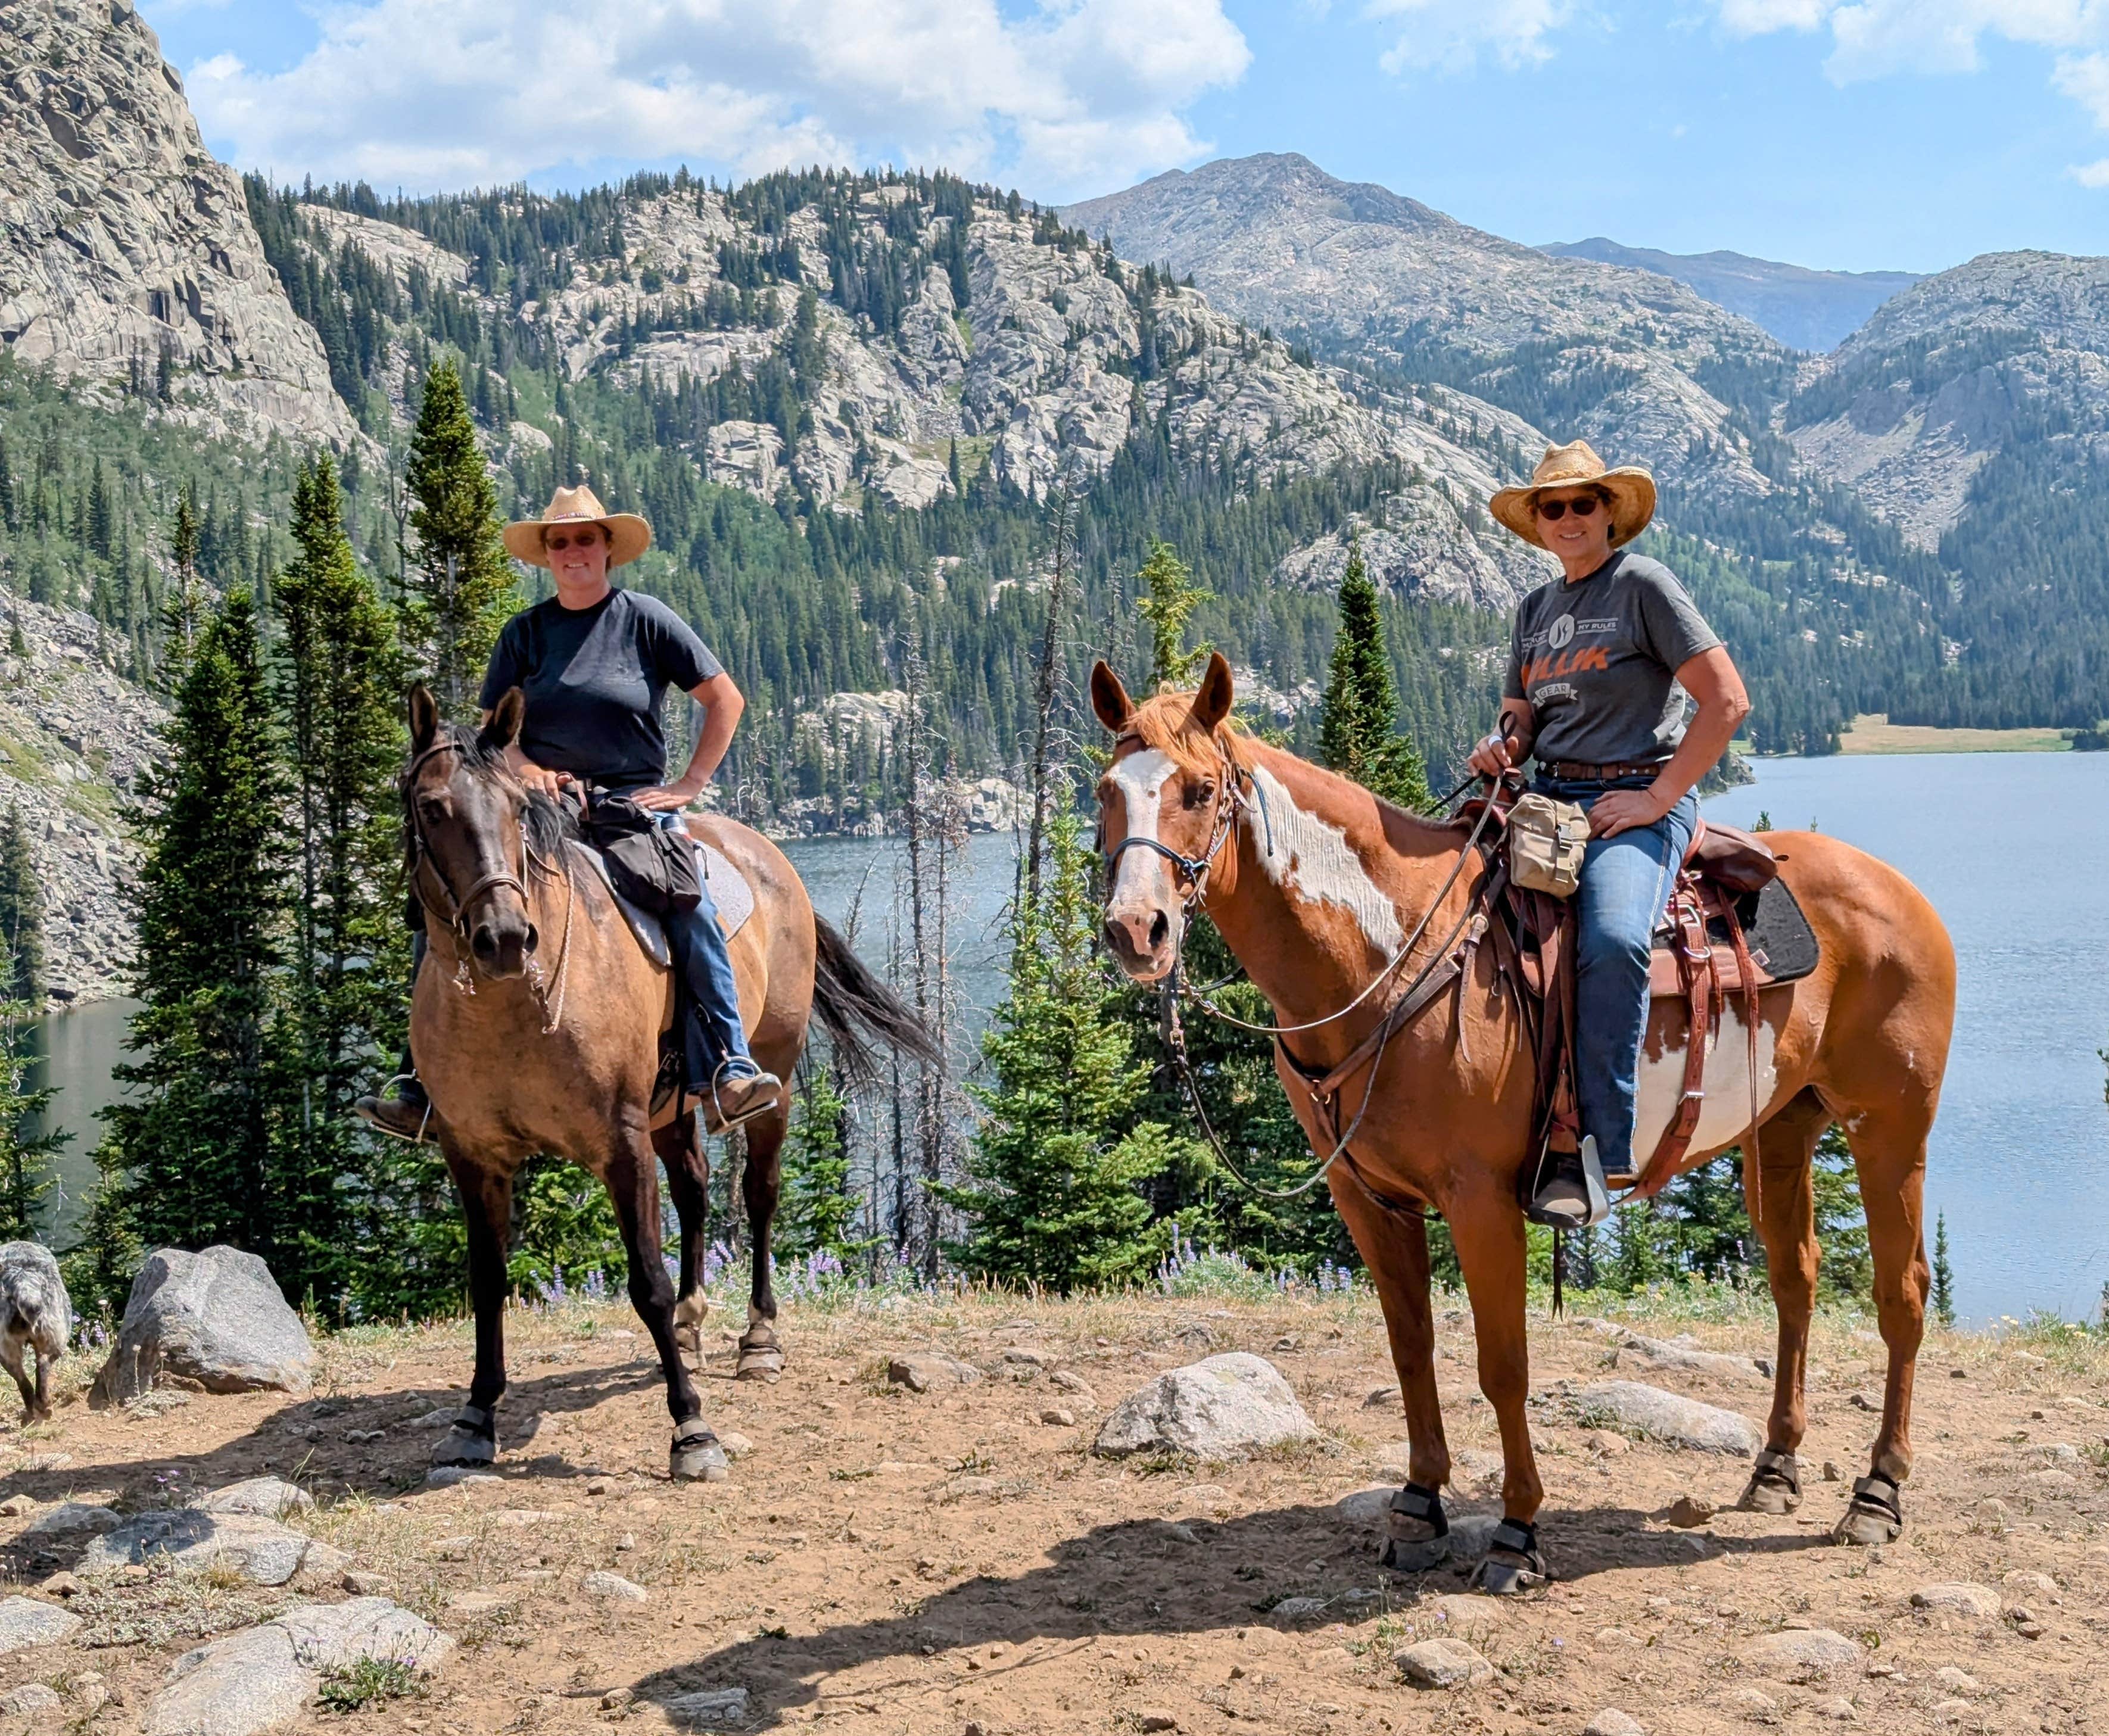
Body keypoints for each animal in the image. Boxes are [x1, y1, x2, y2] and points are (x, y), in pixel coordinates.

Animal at [407, 687, 936, 1485]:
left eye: (517, 808)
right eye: (431, 807)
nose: (504, 937)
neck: (517, 1008)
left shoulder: (621, 1143)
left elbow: (645, 1282)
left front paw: (691, 1429)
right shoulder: (474, 1155)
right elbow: (488, 1280)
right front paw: (475, 1416)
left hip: (772, 1078)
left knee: (758, 1194)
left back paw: (759, 1339)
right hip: (672, 1107)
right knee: (694, 1190)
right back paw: (690, 1326)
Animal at [1105, 658, 1957, 1594]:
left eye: (1199, 788)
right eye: (1107, 790)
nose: (1135, 928)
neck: (1395, 953)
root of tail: (1900, 889)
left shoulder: (1480, 1199)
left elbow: (1502, 1364)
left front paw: (1517, 1531)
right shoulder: (1368, 1198)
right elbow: (1411, 1349)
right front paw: (1418, 1507)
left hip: (1889, 1125)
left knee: (1901, 1293)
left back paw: (1876, 1493)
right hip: (1783, 1126)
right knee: (1794, 1279)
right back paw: (1775, 1468)